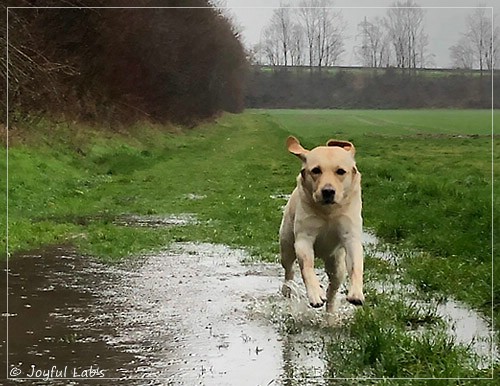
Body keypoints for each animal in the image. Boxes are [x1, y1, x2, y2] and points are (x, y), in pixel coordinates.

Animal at [280, 137, 366, 312]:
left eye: (340, 171)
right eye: (316, 170)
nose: (328, 191)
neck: (328, 212)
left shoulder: (351, 236)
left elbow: (356, 264)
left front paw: (356, 293)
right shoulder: (304, 239)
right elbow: (307, 267)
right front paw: (315, 294)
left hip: (336, 265)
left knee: (333, 289)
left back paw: (330, 313)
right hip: (286, 246)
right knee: (289, 270)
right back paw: (287, 288)